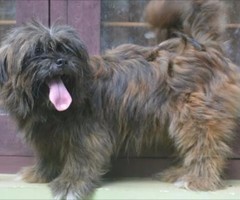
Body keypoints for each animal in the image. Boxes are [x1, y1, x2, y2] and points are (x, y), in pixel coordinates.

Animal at [0, 0, 239, 200]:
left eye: (68, 50)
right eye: (37, 51)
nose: (61, 61)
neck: (48, 107)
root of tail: (205, 46)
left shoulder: (88, 133)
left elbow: (80, 158)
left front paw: (71, 184)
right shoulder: (45, 135)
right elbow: (47, 154)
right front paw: (40, 174)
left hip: (196, 117)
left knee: (206, 148)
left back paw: (198, 179)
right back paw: (181, 172)